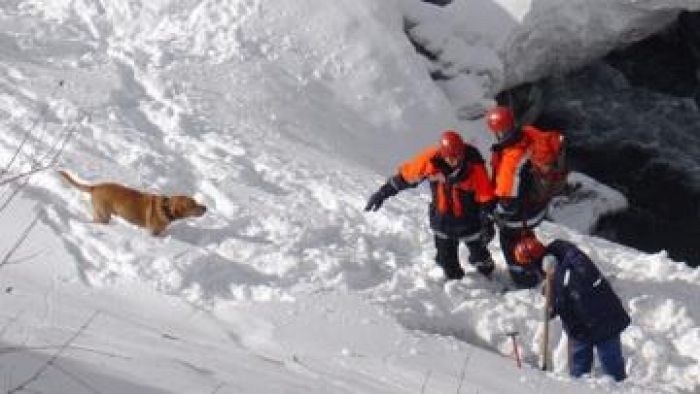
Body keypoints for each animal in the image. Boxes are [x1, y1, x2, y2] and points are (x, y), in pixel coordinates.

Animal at [58, 170, 206, 237]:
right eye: (193, 205)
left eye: (196, 201)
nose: (205, 207)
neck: (166, 207)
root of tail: (95, 187)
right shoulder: (152, 233)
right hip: (104, 215)